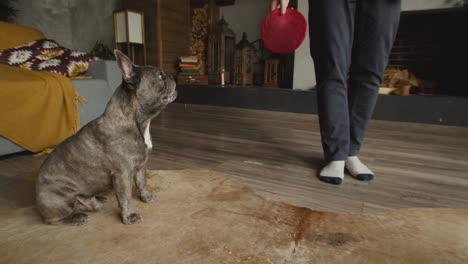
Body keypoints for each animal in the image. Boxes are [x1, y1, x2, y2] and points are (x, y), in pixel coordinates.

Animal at [35, 50, 177, 225]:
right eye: (160, 75)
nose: (171, 76)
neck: (138, 122)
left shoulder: (140, 166)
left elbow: (142, 182)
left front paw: (146, 197)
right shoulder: (122, 173)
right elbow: (125, 197)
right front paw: (129, 216)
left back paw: (97, 200)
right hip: (60, 203)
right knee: (53, 220)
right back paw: (76, 218)